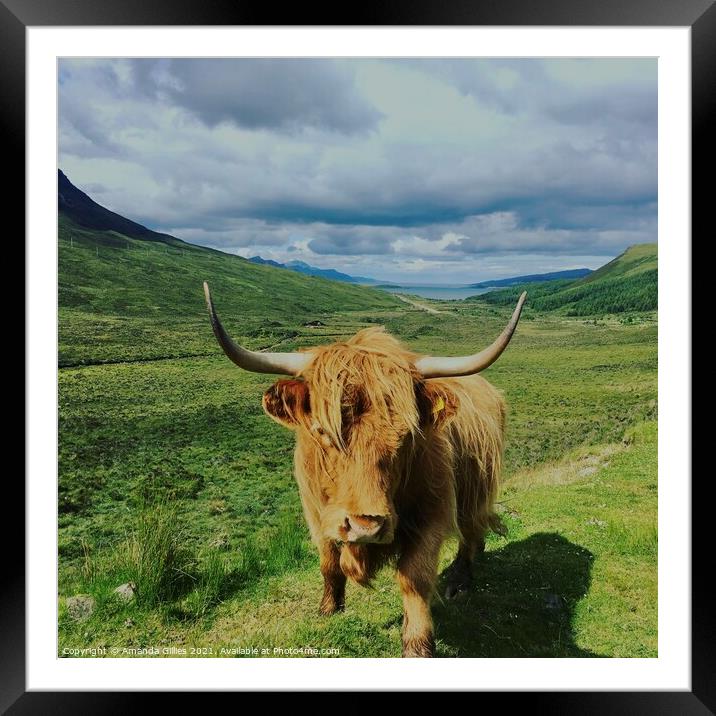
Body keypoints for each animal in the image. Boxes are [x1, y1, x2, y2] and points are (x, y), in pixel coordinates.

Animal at [203, 282, 524, 656]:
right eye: (323, 431)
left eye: (406, 435)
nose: (366, 526)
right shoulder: (315, 512)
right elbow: (329, 561)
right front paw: (329, 607)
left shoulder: (433, 513)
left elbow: (413, 577)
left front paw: (417, 644)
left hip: (477, 490)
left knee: (471, 531)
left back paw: (460, 581)